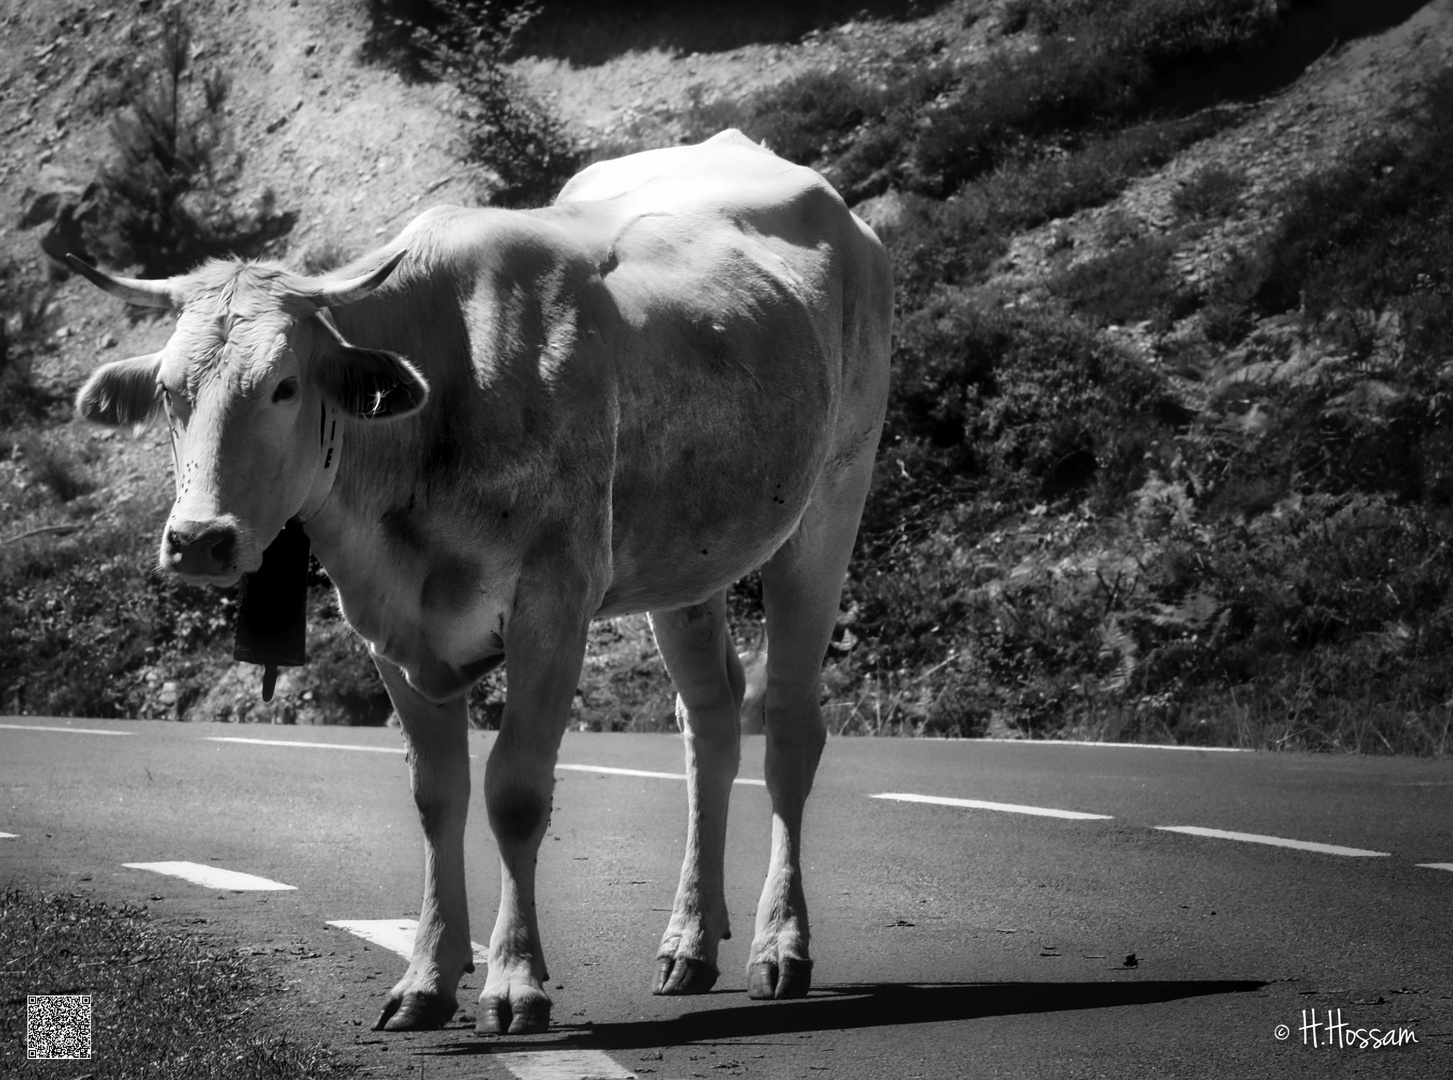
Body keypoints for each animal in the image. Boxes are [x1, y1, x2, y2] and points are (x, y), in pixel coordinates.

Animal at [73, 130, 895, 1034]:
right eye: (169, 392)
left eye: (284, 385)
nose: (199, 540)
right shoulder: (387, 626)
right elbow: (438, 796)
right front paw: (426, 980)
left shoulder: (553, 605)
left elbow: (515, 794)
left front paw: (513, 982)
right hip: (689, 561)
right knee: (710, 720)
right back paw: (688, 942)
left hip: (831, 504)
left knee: (787, 727)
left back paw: (778, 945)